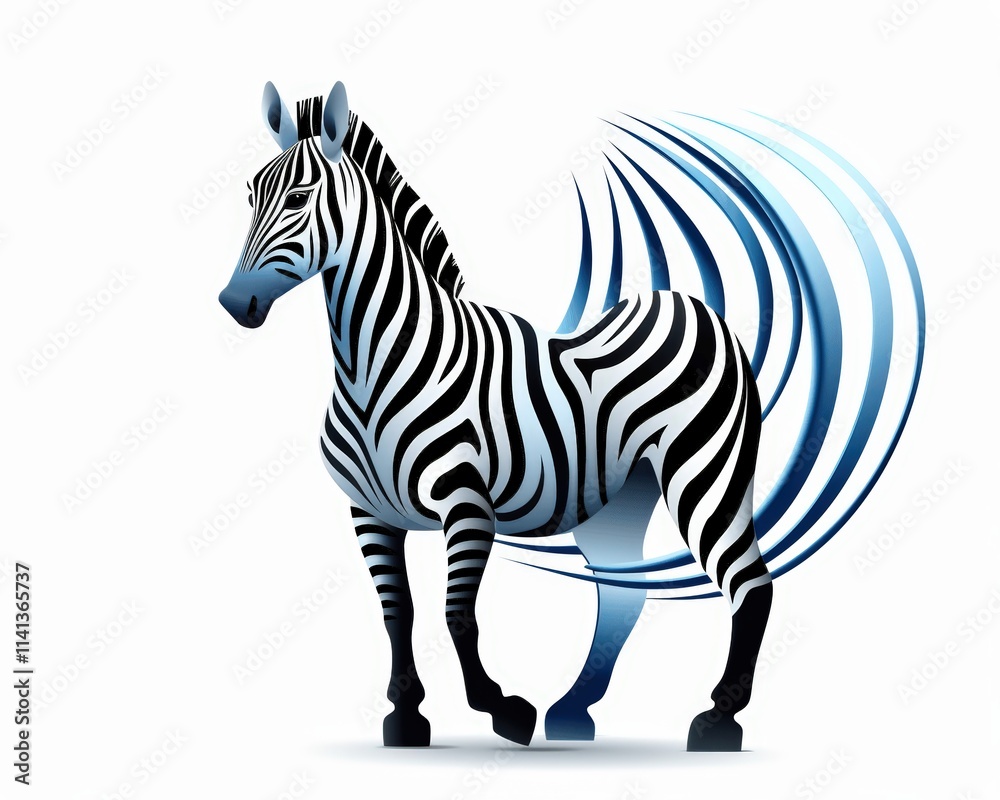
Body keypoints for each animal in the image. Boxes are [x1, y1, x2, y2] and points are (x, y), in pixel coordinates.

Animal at [220, 81, 796, 751]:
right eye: (251, 194)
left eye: (299, 197)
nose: (233, 302)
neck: (373, 365)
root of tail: (690, 305)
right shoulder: (368, 513)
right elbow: (397, 613)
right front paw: (406, 716)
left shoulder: (467, 503)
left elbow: (457, 613)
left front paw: (500, 707)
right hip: (619, 501)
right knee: (623, 598)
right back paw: (574, 709)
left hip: (707, 475)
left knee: (751, 584)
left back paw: (718, 719)